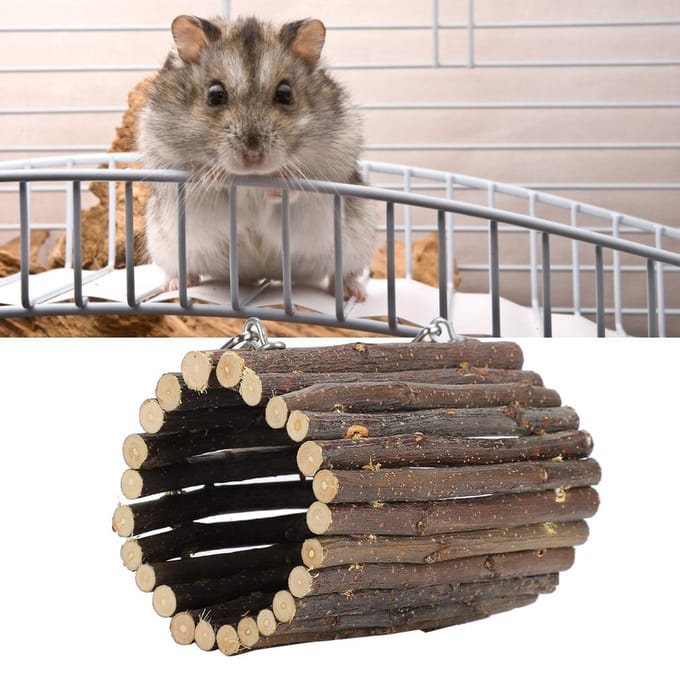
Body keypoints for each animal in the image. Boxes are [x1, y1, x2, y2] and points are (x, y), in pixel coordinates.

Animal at [138, 15, 376, 300]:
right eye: (215, 94)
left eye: (285, 93)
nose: (253, 157)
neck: (252, 178)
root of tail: (263, 275)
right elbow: (205, 180)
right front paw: (215, 175)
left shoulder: (330, 167)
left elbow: (299, 189)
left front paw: (281, 180)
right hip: (165, 245)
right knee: (181, 270)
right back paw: (175, 285)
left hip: (355, 245)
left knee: (341, 275)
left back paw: (353, 292)